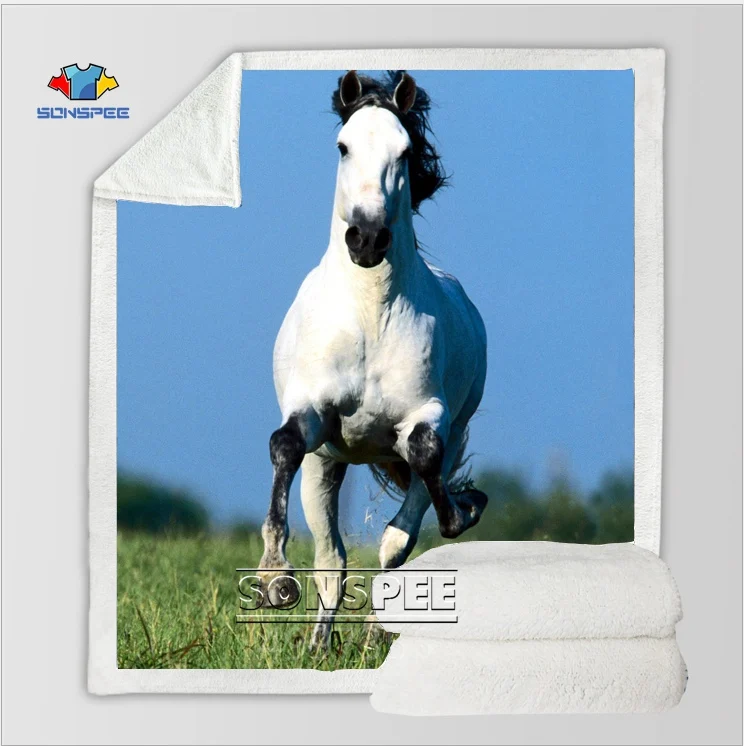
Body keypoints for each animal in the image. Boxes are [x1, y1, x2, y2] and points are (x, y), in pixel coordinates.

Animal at [257, 70, 488, 648]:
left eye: (404, 152)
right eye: (343, 147)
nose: (366, 237)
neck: (370, 314)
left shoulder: (429, 417)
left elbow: (425, 463)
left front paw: (466, 509)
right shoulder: (312, 414)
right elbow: (283, 444)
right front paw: (273, 578)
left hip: (450, 432)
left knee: (394, 544)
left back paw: (372, 636)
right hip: (326, 467)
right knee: (330, 559)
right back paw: (319, 644)